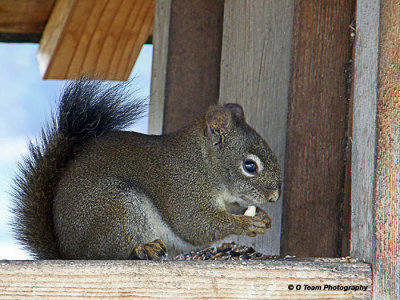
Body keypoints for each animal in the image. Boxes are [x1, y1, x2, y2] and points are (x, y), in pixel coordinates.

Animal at [11, 78, 282, 258]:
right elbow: (195, 223)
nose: (275, 196)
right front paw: (246, 224)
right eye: (250, 165)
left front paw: (263, 217)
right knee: (112, 252)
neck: (203, 163)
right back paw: (143, 248)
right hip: (116, 207)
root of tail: (68, 253)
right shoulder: (182, 186)